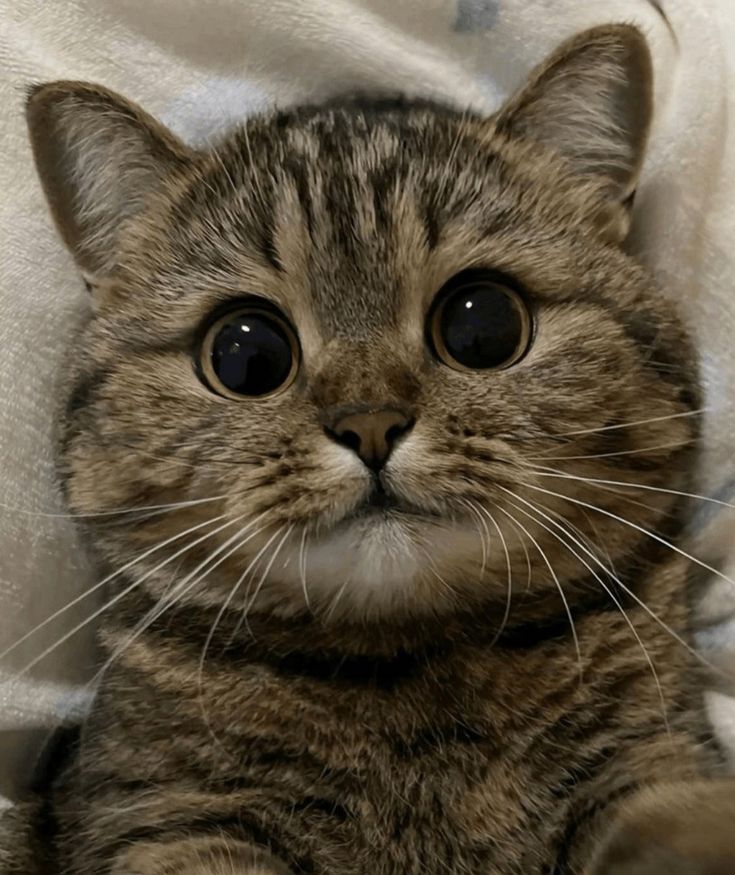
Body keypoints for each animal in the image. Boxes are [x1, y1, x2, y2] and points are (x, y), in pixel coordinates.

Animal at [1, 20, 735, 875]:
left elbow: (676, 819)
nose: (371, 423)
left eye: (484, 324)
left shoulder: (653, 765)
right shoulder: (165, 820)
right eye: (244, 353)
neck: (404, 664)